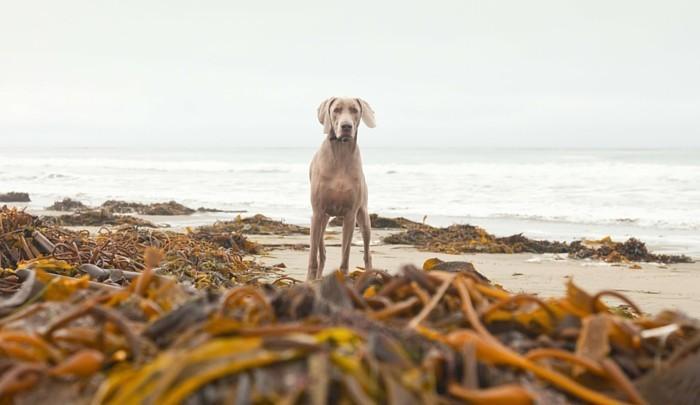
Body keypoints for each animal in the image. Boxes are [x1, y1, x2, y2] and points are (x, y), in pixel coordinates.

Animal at [304, 96, 374, 280]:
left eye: (354, 110)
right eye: (336, 109)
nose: (346, 126)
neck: (341, 153)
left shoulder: (350, 215)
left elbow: (345, 254)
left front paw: (344, 277)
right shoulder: (317, 212)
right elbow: (312, 255)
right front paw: (309, 280)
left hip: (364, 218)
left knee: (367, 252)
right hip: (321, 220)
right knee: (321, 250)